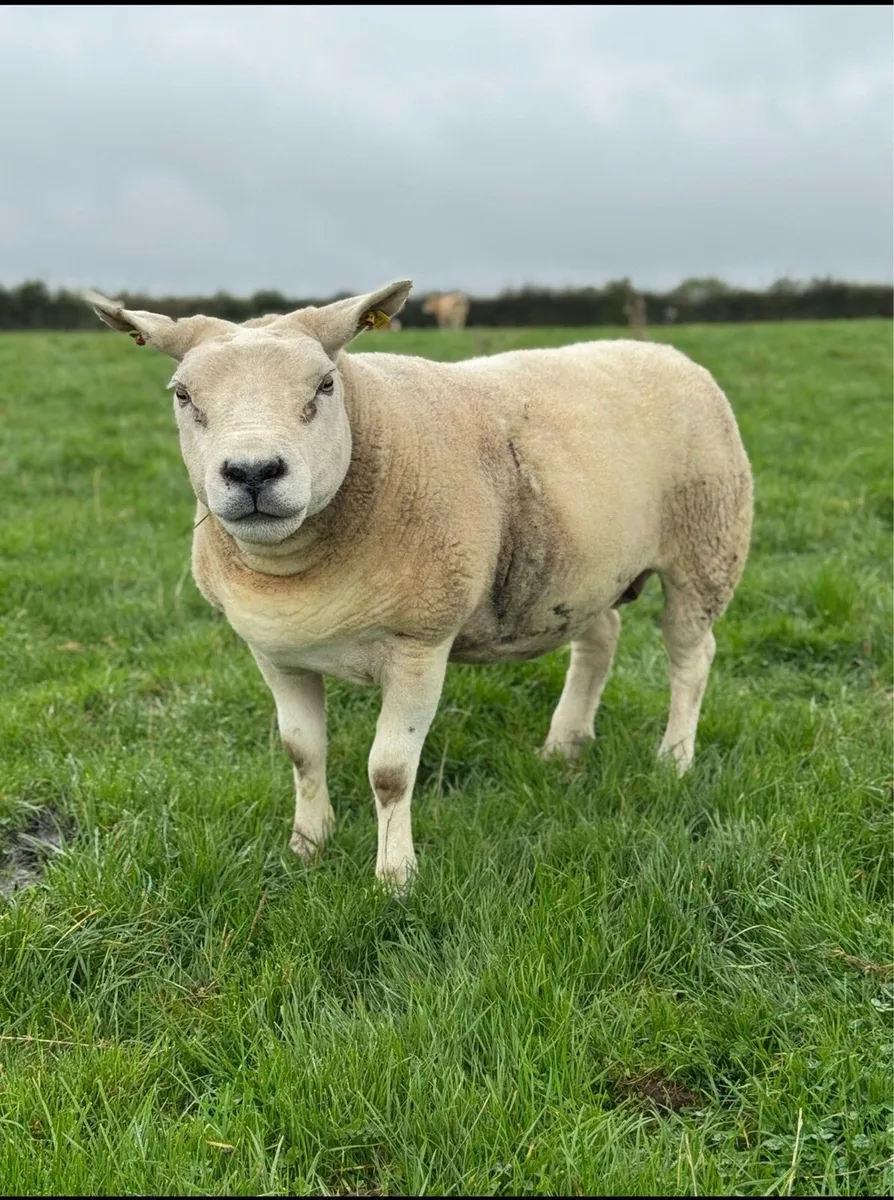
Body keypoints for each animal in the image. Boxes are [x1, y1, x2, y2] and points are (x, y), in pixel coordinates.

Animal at [84, 280, 753, 891]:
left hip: (706, 545)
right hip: (582, 571)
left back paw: (674, 759)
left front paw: (395, 878)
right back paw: (564, 744)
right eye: (182, 394)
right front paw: (307, 844)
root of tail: (665, 351)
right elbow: (302, 751)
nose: (253, 472)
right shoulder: (274, 652)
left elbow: (389, 772)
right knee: (601, 637)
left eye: (325, 386)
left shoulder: (420, 644)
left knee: (691, 658)